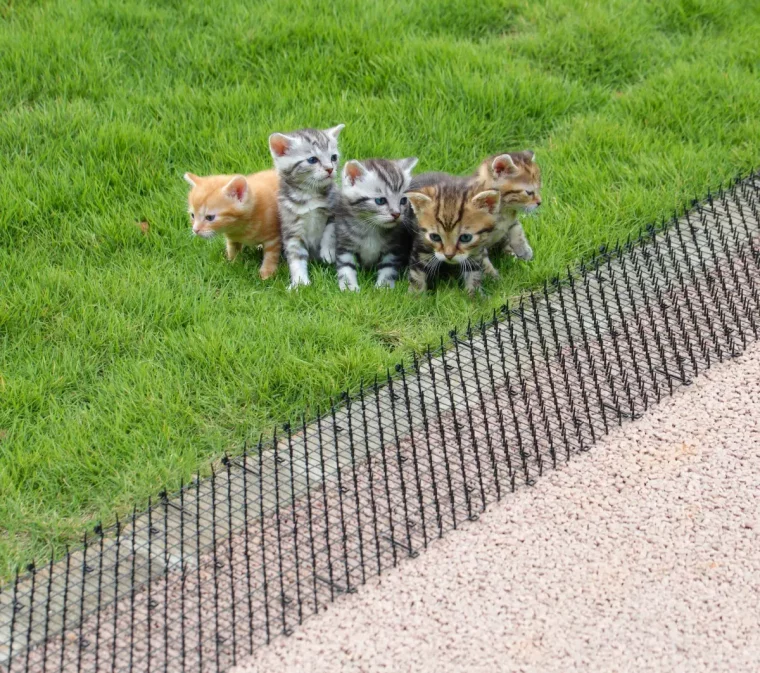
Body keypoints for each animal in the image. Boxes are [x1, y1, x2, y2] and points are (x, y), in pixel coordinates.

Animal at [268, 124, 346, 288]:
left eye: (333, 157)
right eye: (312, 160)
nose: (330, 169)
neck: (308, 195)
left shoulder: (335, 210)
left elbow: (330, 230)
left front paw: (328, 251)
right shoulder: (292, 230)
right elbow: (296, 258)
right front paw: (300, 282)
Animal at [332, 160, 416, 294]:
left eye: (403, 200)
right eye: (380, 201)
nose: (397, 214)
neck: (371, 227)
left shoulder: (393, 248)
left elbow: (388, 269)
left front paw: (383, 288)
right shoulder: (345, 244)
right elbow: (346, 267)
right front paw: (349, 287)